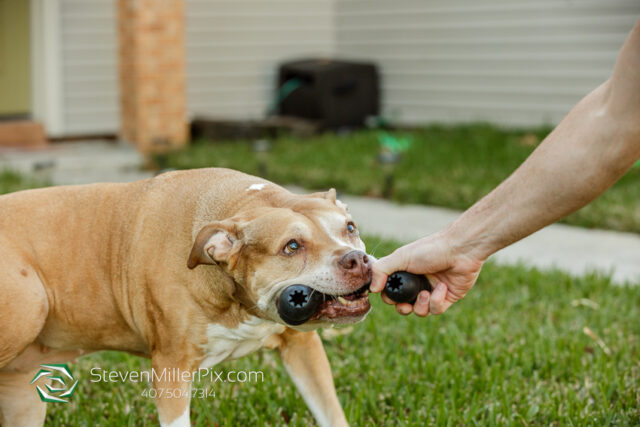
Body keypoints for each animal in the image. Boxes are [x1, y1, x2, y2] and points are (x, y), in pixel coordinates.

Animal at [0, 169, 376, 426]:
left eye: (350, 227)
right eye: (292, 246)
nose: (356, 260)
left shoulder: (303, 347)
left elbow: (330, 412)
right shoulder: (171, 369)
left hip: (23, 394)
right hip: (32, 305)